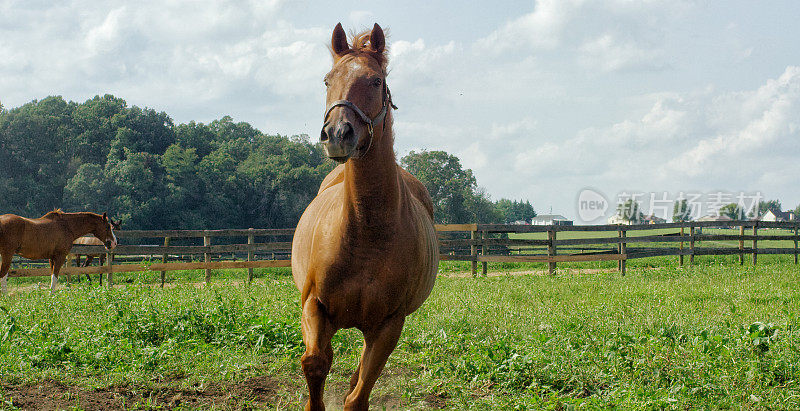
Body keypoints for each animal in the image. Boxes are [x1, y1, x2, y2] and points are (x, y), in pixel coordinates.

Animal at [290, 23, 438, 411]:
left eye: (375, 81)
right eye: (328, 80)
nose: (337, 134)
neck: (364, 231)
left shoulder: (389, 325)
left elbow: (358, 395)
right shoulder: (313, 305)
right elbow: (315, 362)